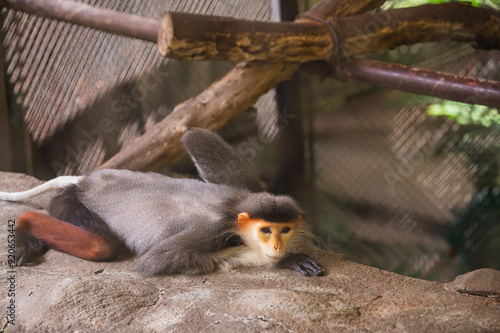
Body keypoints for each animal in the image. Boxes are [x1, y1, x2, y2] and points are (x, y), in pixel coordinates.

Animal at [0, 128, 324, 276]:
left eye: (285, 230)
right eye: (266, 231)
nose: (278, 246)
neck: (235, 209)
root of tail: (85, 181)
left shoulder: (250, 190)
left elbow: (195, 136)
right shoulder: (216, 228)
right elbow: (155, 260)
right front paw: (283, 261)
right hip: (69, 203)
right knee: (101, 246)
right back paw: (25, 227)